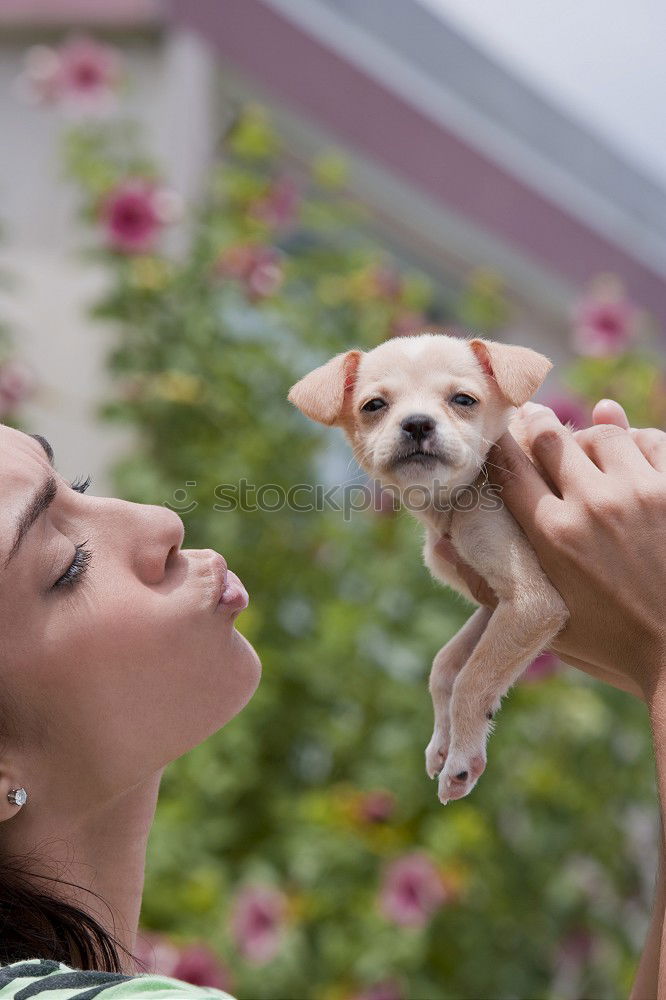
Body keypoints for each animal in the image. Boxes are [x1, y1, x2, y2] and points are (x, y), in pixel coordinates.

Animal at [286, 332, 564, 800]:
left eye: (464, 400)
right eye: (374, 405)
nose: (417, 423)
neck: (452, 503)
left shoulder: (531, 603)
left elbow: (472, 679)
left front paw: (462, 761)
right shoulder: (494, 605)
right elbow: (447, 666)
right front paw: (442, 743)